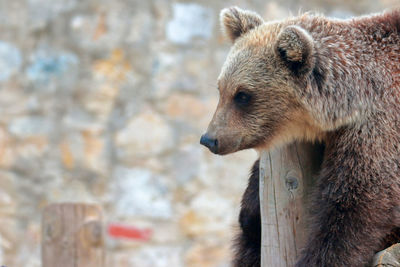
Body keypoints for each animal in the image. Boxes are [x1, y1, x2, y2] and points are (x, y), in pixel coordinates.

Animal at [202, 5, 400, 267]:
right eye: (221, 89)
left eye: (243, 95)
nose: (209, 139)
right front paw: (250, 215)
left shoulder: (378, 125)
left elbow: (356, 203)